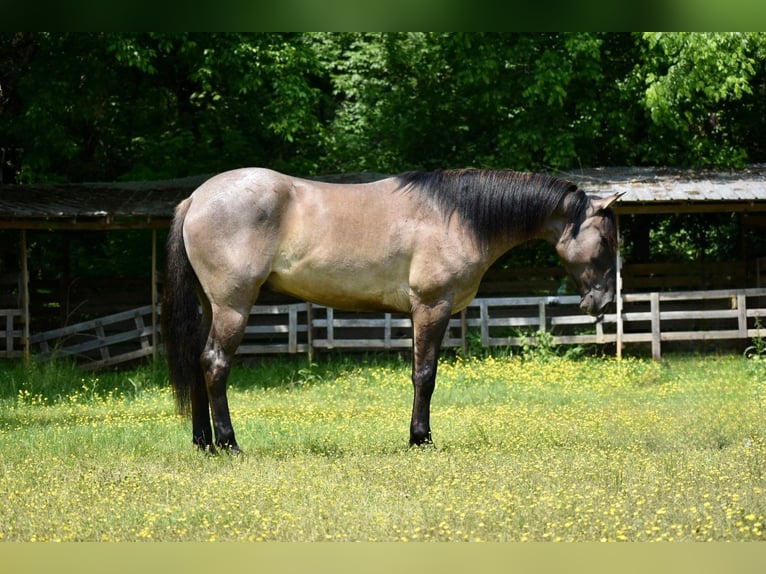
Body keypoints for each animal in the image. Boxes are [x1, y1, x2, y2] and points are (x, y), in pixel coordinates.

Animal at [164, 166, 624, 454]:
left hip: (212, 307)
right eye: (605, 241)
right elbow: (425, 376)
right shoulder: (432, 307)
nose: (602, 302)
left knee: (196, 361)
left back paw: (204, 443)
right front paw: (421, 439)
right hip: (233, 307)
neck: (456, 216)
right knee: (215, 363)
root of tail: (196, 199)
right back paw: (229, 443)